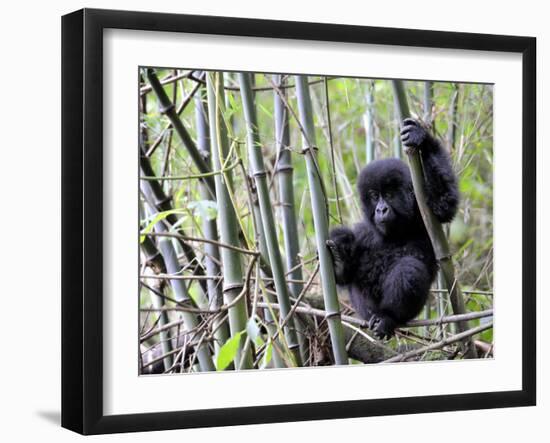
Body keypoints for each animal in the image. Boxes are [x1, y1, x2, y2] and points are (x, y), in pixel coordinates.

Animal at [328, 118, 462, 340]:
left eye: (390, 195)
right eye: (374, 196)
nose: (381, 209)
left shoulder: (424, 215)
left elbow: (444, 202)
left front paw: (422, 140)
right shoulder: (364, 230)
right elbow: (345, 276)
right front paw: (339, 259)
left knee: (408, 269)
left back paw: (387, 318)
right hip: (366, 312)